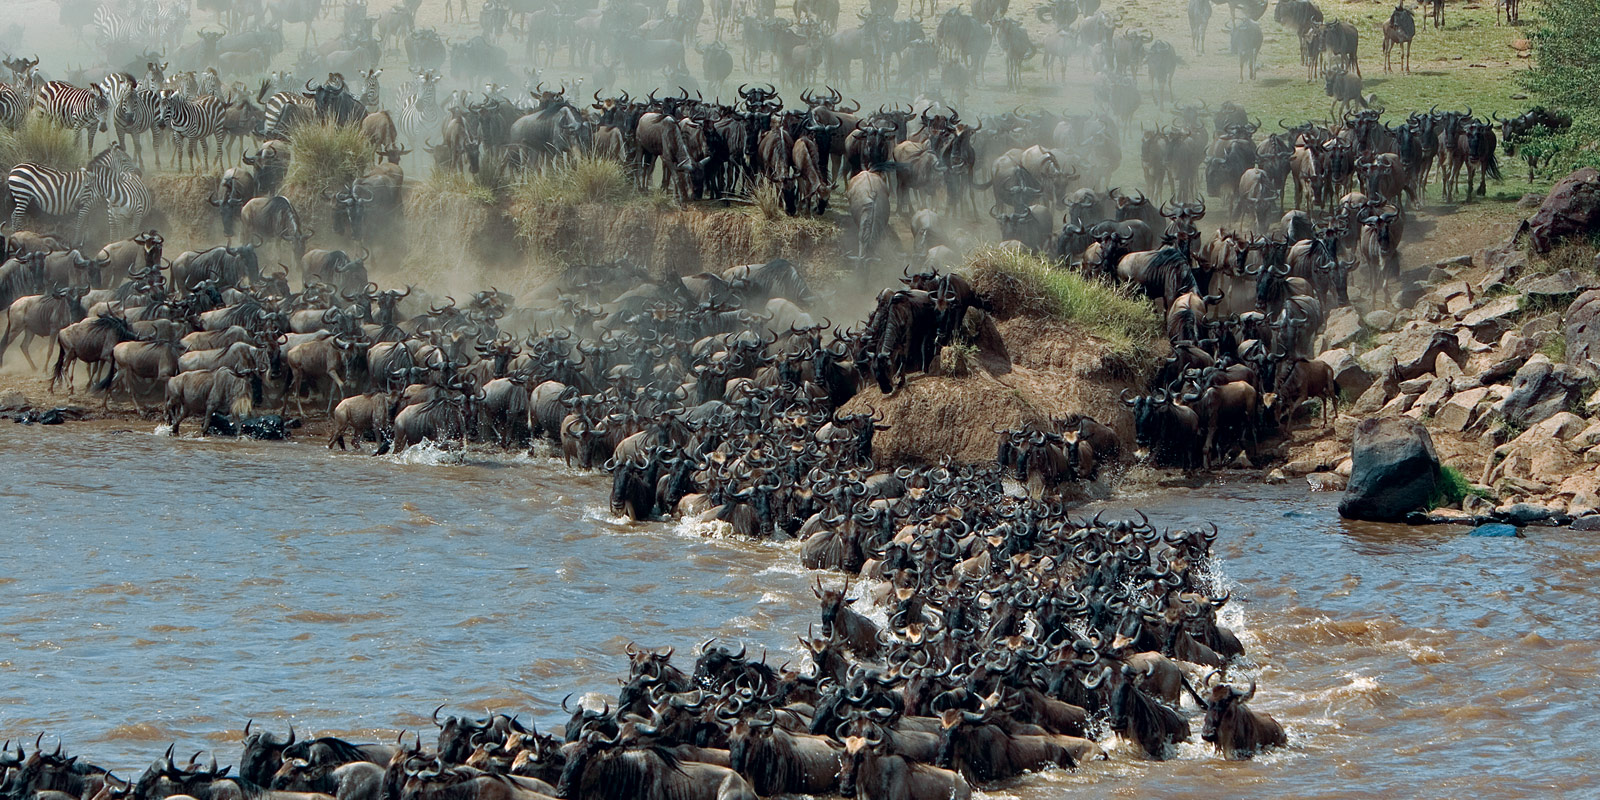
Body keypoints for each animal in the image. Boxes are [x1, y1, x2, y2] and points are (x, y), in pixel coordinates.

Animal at [5, 144, 148, 241]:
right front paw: (77, 242)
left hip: (23, 197)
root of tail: (14, 168)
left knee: (14, 215)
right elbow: (80, 224)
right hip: (22, 194)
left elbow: (86, 224)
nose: (140, 173)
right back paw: (18, 235)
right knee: (17, 216)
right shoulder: (85, 205)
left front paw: (86, 239)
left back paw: (16, 235)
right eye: (125, 160)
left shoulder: (89, 206)